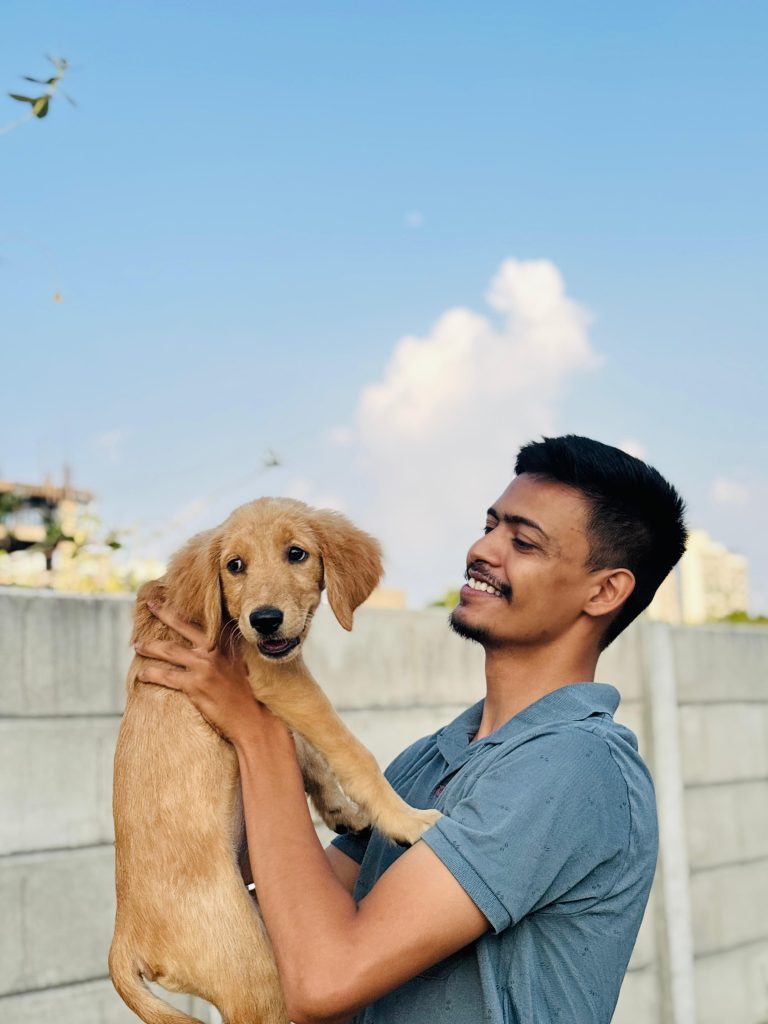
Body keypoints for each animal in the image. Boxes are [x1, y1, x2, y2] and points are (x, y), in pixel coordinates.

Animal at [109, 498, 440, 1024]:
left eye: (296, 553)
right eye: (234, 566)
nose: (264, 620)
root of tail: (123, 940)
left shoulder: (275, 691)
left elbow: (309, 753)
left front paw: (343, 813)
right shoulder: (278, 679)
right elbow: (350, 750)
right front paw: (404, 819)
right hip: (257, 975)